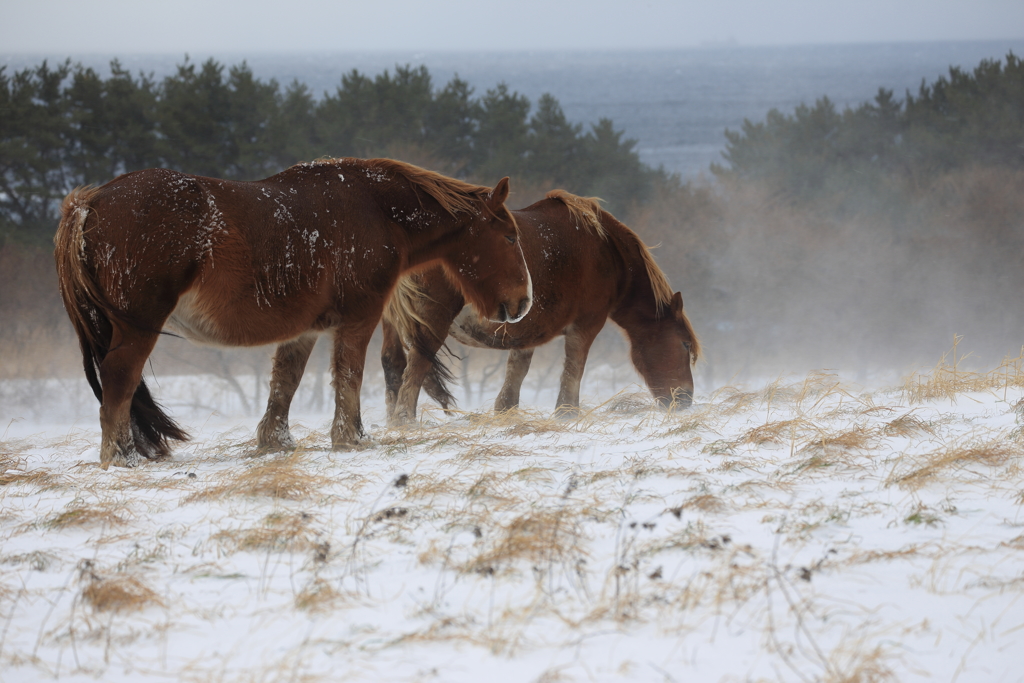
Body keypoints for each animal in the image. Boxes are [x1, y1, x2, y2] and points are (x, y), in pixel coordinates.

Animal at [54, 158, 536, 471]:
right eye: (510, 237)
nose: (523, 302)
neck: (377, 212)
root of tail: (90, 202)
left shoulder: (303, 330)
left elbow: (285, 383)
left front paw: (276, 442)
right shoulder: (358, 319)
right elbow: (349, 376)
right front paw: (351, 438)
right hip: (138, 327)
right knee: (119, 381)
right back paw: (120, 458)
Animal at [380, 187, 700, 421]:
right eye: (685, 344)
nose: (685, 399)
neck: (606, 250)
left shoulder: (528, 327)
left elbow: (516, 371)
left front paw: (506, 411)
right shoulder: (586, 325)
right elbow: (574, 369)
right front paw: (566, 414)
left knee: (392, 364)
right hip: (433, 318)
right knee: (417, 365)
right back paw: (405, 420)